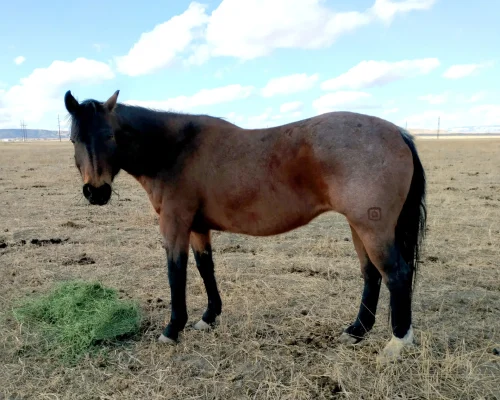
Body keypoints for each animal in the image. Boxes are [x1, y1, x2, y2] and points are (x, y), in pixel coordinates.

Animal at [64, 90, 428, 362]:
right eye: (73, 139)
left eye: (110, 135)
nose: (96, 192)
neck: (175, 149)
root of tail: (398, 133)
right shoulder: (198, 228)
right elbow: (205, 268)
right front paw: (209, 317)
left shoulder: (175, 223)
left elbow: (176, 273)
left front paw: (172, 329)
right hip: (358, 227)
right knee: (371, 275)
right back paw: (357, 331)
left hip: (372, 228)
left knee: (396, 274)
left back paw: (397, 342)